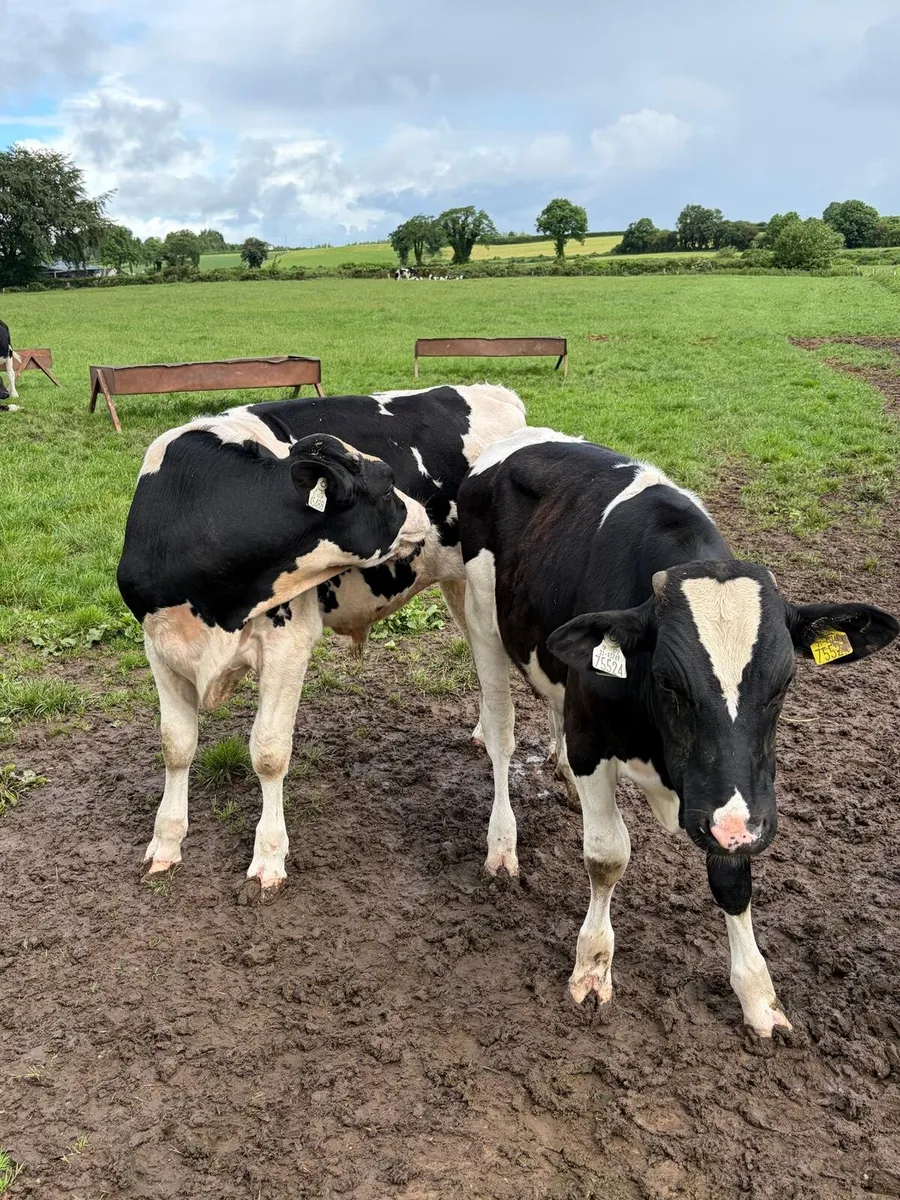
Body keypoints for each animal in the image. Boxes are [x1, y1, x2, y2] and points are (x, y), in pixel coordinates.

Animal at [118, 384, 526, 893]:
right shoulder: (160, 646)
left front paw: (268, 857)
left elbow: (269, 752)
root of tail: (488, 390)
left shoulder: (288, 643)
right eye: (386, 483)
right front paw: (167, 842)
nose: (424, 512)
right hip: (458, 587)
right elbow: (176, 744)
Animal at [457, 427, 898, 1037]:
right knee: (500, 737)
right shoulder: (594, 738)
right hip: (482, 619)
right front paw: (592, 966)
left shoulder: (733, 796)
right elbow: (607, 855)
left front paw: (758, 996)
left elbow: (733, 877)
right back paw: (502, 845)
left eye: (785, 681)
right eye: (669, 680)